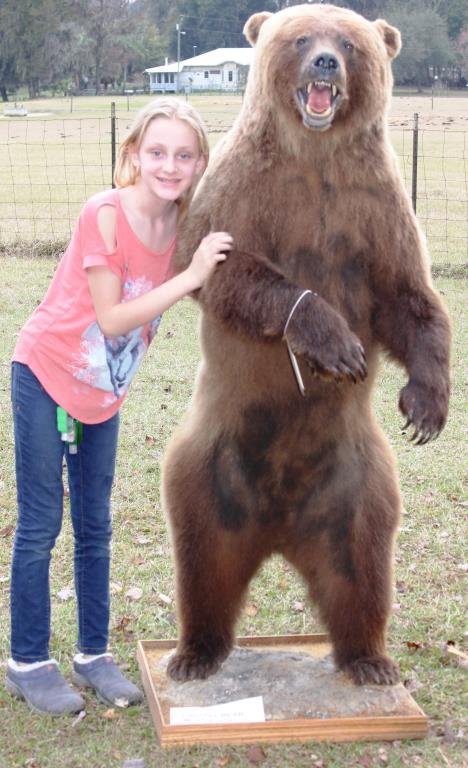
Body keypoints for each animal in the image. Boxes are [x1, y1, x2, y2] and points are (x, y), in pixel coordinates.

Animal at [162, 3, 451, 686]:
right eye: (300, 39)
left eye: (348, 41)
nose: (325, 61)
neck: (316, 156)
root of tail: (277, 529)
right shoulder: (248, 190)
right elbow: (220, 266)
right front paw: (335, 344)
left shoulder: (375, 209)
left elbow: (408, 298)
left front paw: (426, 406)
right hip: (209, 469)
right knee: (203, 562)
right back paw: (194, 652)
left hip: (356, 488)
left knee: (362, 572)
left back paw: (371, 659)